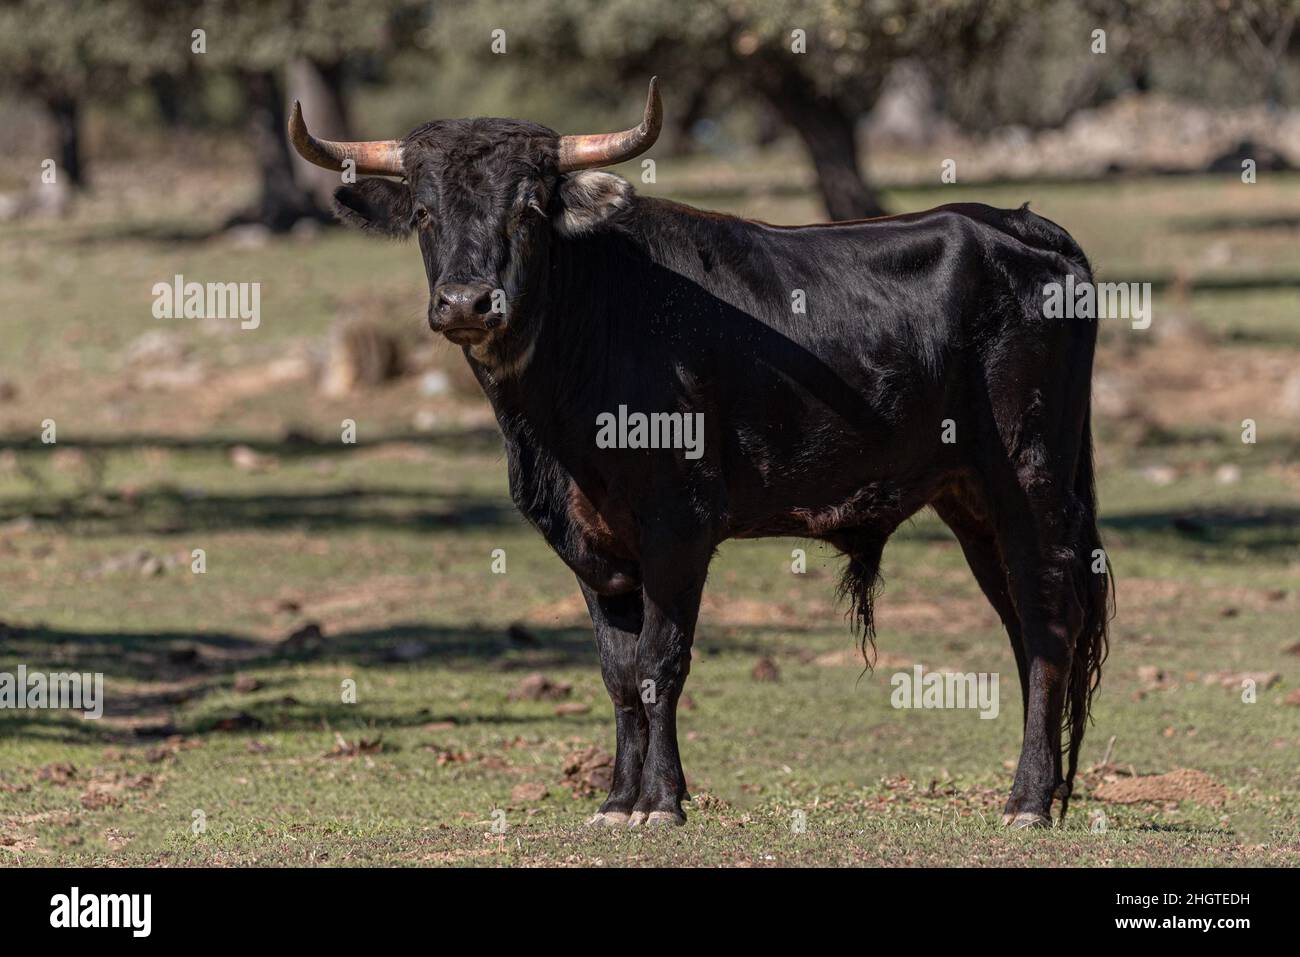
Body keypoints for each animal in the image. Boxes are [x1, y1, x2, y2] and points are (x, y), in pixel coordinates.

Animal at [301, 108, 1107, 826]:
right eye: (424, 212)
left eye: (530, 208)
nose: (468, 302)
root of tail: (1023, 225)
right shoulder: (591, 548)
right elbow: (619, 674)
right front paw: (617, 801)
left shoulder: (679, 527)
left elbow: (661, 664)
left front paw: (661, 802)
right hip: (972, 502)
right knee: (1023, 624)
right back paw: (1042, 791)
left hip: (1030, 482)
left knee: (1049, 623)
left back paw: (1028, 802)